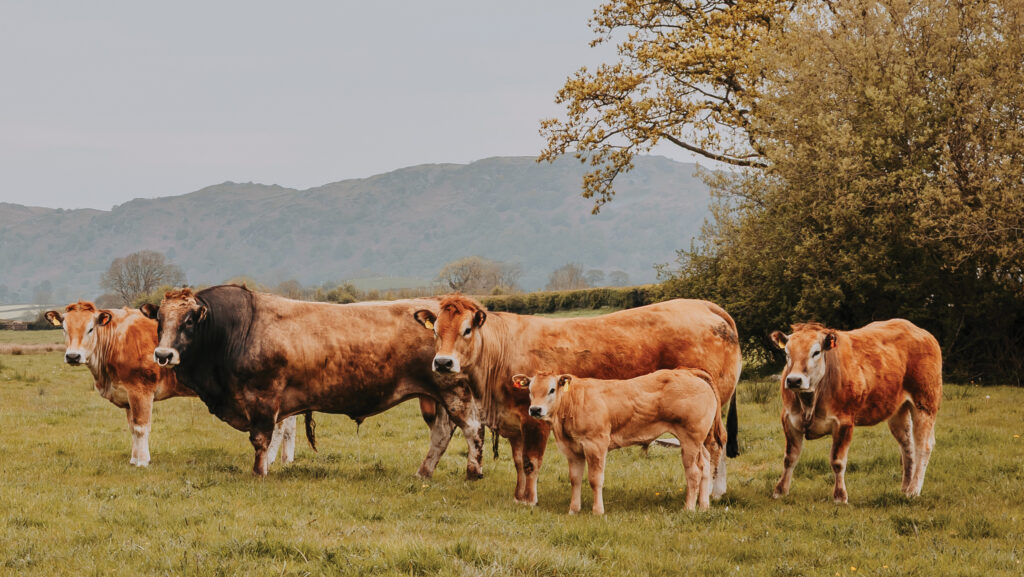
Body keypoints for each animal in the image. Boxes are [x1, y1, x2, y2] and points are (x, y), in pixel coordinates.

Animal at [44, 301, 300, 467]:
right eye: (64, 328)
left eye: (90, 328)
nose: (73, 356)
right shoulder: (127, 395)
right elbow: (132, 428)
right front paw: (134, 458)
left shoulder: (140, 390)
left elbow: (141, 427)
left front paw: (142, 461)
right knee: (289, 425)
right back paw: (286, 459)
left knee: (279, 426)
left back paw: (270, 459)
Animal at [141, 286, 481, 478]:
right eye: (159, 320)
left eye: (188, 321)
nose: (163, 354)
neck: (237, 329)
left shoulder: (263, 397)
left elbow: (261, 439)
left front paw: (259, 472)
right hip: (437, 396)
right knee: (441, 433)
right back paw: (423, 472)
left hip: (454, 391)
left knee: (472, 428)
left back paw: (473, 471)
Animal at [518, 369, 723, 514]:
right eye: (530, 390)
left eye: (552, 390)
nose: (535, 409)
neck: (573, 403)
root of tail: (689, 372)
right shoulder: (572, 450)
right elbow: (575, 479)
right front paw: (573, 510)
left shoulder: (596, 444)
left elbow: (595, 479)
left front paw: (597, 511)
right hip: (699, 441)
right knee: (705, 464)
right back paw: (703, 506)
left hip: (690, 439)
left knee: (694, 472)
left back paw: (689, 508)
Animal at [769, 320, 943, 503]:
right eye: (787, 353)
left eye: (816, 352)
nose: (794, 380)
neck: (809, 402)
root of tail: (920, 332)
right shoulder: (789, 419)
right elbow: (790, 458)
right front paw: (780, 491)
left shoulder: (844, 422)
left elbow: (837, 461)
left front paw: (840, 496)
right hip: (898, 410)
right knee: (907, 445)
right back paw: (905, 488)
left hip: (925, 403)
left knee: (923, 446)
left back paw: (913, 490)